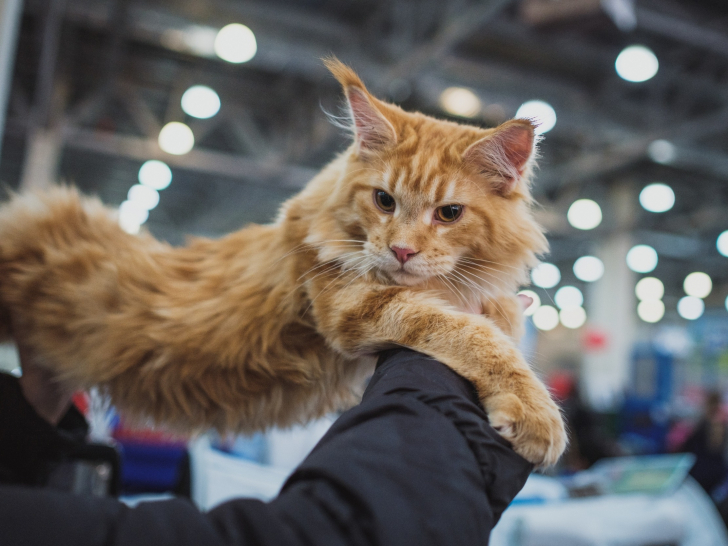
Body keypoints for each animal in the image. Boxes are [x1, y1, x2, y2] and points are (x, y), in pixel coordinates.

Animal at [0, 60, 568, 468]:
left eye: (449, 214)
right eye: (384, 201)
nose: (402, 251)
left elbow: (493, 316)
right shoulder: (353, 304)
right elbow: (469, 333)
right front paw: (534, 411)